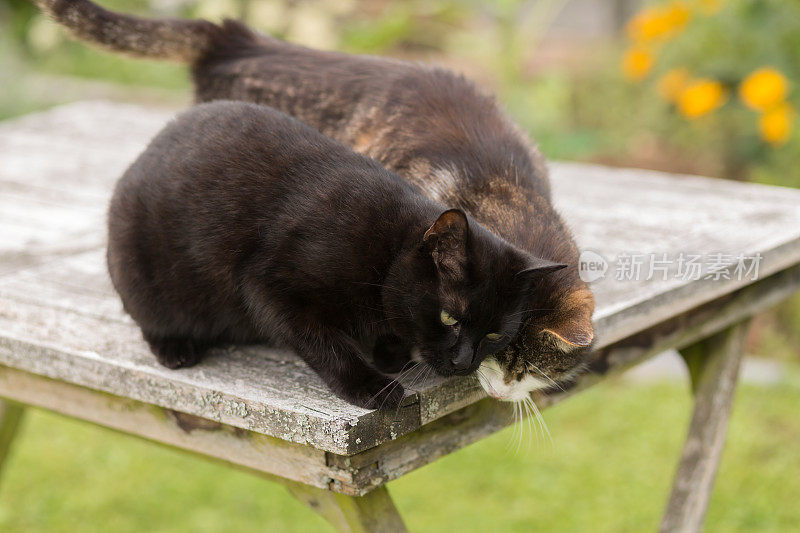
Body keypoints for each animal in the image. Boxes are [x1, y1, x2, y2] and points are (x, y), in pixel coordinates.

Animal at [108, 103, 564, 408]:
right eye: (449, 318)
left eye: (494, 335)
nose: (464, 361)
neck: (386, 254)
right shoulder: (270, 286)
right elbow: (326, 345)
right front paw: (373, 387)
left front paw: (391, 352)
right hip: (144, 276)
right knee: (148, 316)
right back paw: (175, 347)